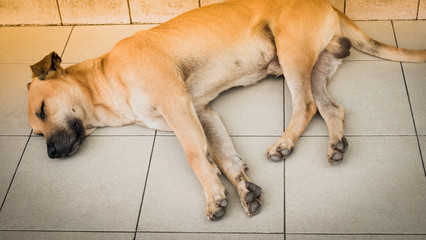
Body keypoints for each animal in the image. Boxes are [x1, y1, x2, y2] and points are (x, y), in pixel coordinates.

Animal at [27, 0, 426, 220]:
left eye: (43, 110)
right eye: (36, 130)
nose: (50, 154)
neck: (106, 77)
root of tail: (331, 5)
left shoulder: (178, 106)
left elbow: (196, 157)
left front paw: (215, 196)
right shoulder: (203, 114)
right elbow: (222, 157)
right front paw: (242, 187)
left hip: (291, 52)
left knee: (307, 105)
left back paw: (285, 143)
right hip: (316, 67)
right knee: (332, 109)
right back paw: (336, 144)